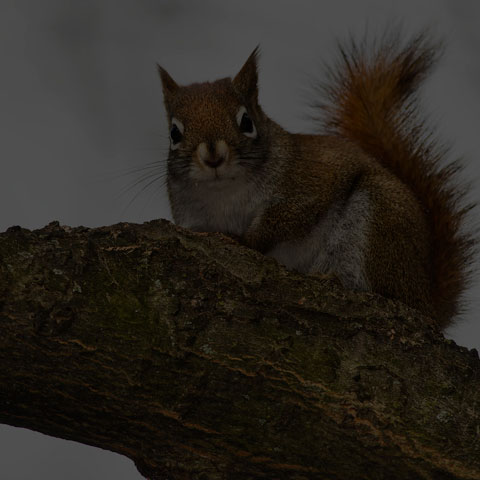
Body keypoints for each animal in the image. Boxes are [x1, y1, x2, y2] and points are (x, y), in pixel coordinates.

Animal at [158, 31, 476, 330]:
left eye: (246, 121)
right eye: (174, 133)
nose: (213, 156)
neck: (225, 192)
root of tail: (426, 299)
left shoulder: (308, 184)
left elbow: (286, 219)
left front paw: (245, 240)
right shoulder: (193, 218)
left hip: (380, 222)